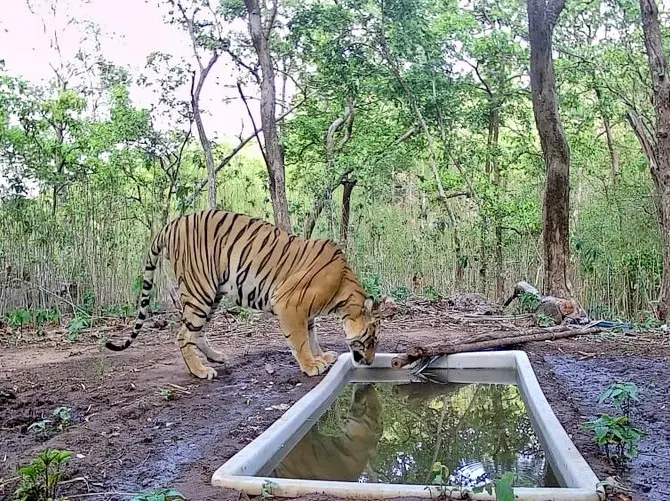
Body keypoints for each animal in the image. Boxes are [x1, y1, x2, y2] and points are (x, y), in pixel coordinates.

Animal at [105, 209, 394, 379]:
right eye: (371, 339)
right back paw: (200, 371)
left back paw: (217, 357)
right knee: (183, 335)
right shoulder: (290, 304)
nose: (370, 362)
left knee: (196, 332)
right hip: (200, 290)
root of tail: (172, 223)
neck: (343, 291)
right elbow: (300, 340)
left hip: (212, 295)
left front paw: (321, 356)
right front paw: (312, 365)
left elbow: (312, 336)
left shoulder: (307, 312)